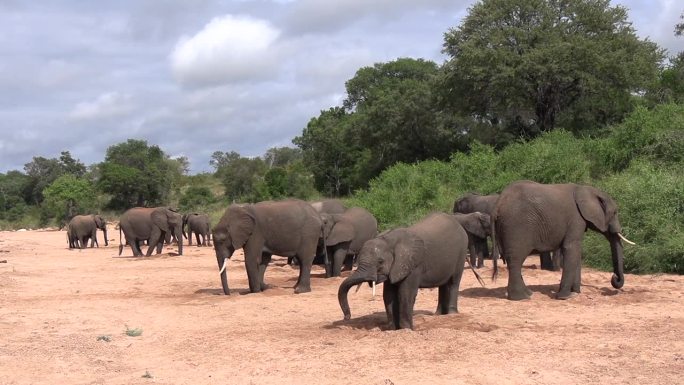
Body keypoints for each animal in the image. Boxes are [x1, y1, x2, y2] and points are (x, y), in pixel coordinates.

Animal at [338, 212, 480, 328]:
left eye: (380, 262)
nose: (347, 317)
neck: (389, 240)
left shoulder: (413, 265)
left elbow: (405, 293)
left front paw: (406, 329)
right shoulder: (396, 268)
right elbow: (388, 295)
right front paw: (393, 329)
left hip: (461, 252)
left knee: (454, 282)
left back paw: (451, 314)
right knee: (443, 285)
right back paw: (438, 315)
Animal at [492, 180, 636, 300]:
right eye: (615, 213)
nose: (614, 278)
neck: (586, 189)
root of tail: (498, 203)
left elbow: (576, 251)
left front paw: (576, 292)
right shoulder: (576, 218)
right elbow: (571, 248)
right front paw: (566, 297)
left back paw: (528, 293)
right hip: (516, 226)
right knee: (516, 260)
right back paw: (522, 298)